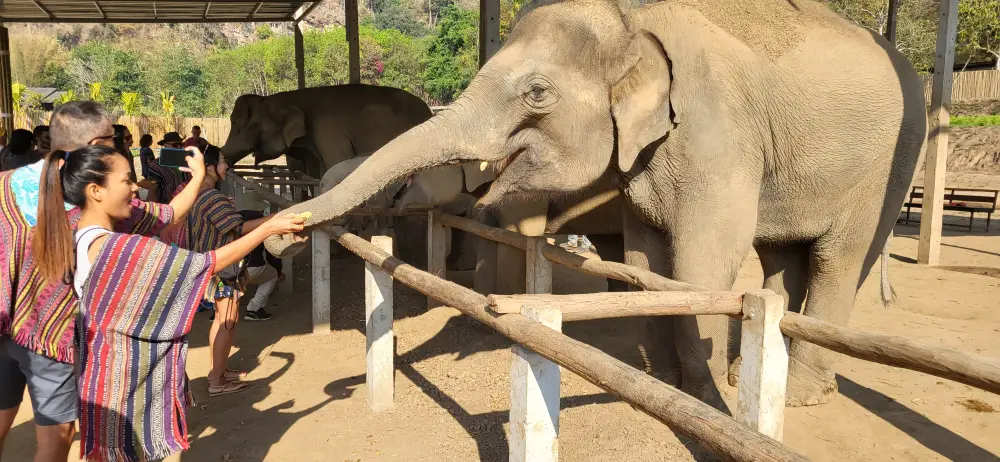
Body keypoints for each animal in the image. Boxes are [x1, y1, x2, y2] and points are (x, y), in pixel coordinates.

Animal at [267, 0, 927, 408]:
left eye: (537, 93)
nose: (280, 232)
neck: (632, 19)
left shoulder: (716, 128)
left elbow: (704, 260)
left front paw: (701, 398)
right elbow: (644, 258)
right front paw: (661, 381)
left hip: (890, 159)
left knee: (839, 259)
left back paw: (801, 394)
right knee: (781, 255)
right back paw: (752, 373)